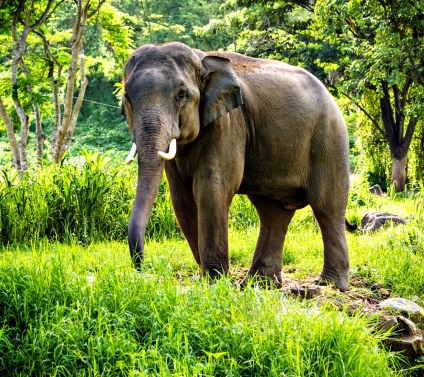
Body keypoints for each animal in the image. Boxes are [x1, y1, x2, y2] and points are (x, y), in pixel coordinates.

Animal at [121, 42, 352, 292]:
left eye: (181, 94)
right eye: (127, 97)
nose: (142, 270)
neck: (201, 60)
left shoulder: (229, 124)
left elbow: (212, 188)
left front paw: (214, 281)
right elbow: (182, 199)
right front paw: (210, 279)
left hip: (330, 138)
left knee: (327, 207)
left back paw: (330, 284)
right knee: (273, 213)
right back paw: (261, 283)